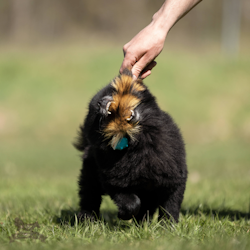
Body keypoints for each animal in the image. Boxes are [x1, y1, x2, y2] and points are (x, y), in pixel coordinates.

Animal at [75, 69, 187, 223]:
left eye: (112, 92)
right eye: (96, 110)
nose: (101, 102)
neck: (138, 141)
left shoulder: (173, 178)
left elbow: (170, 207)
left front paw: (167, 226)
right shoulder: (115, 183)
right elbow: (131, 203)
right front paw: (123, 215)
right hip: (90, 173)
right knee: (89, 196)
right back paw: (87, 219)